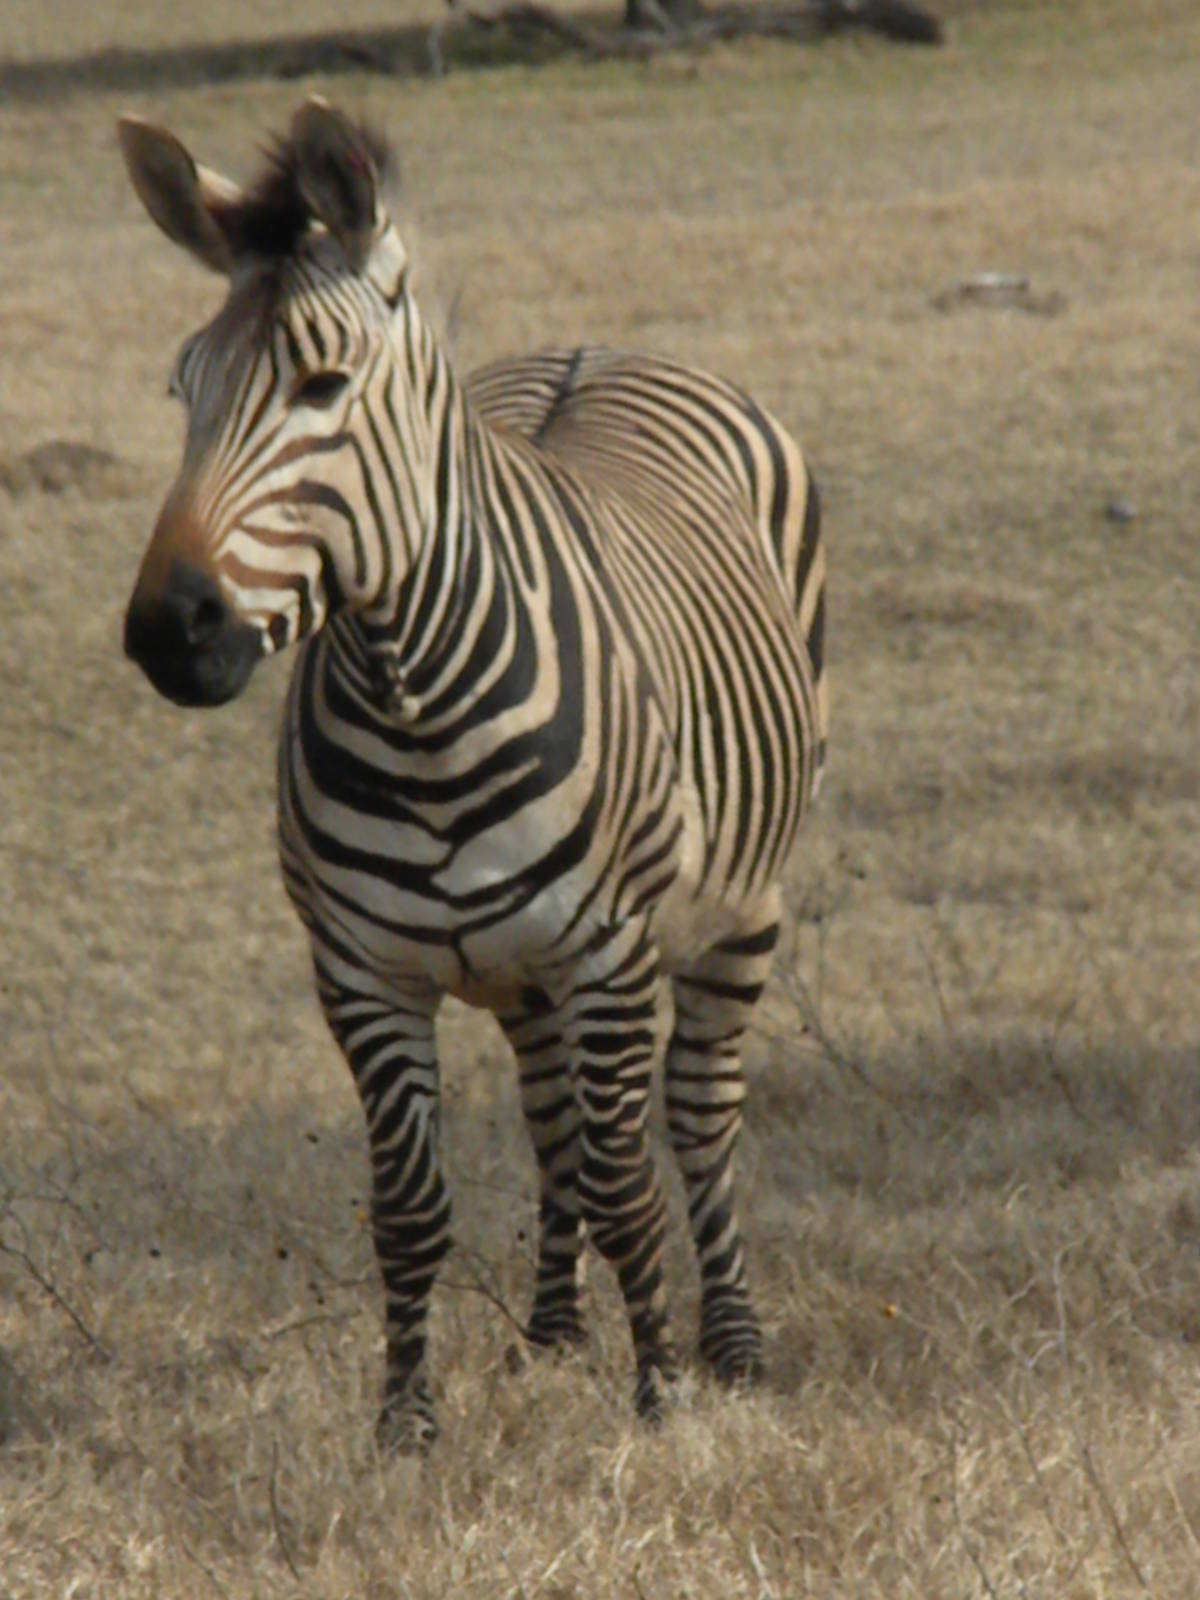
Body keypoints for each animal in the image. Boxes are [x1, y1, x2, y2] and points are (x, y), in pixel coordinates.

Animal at [118, 99, 828, 1451]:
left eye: (324, 385)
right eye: (180, 388)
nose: (169, 633)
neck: (422, 717)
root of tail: (598, 345)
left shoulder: (610, 951)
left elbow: (627, 1179)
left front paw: (661, 1402)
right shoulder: (361, 970)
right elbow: (409, 1204)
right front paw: (405, 1425)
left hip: (737, 912)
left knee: (698, 1115)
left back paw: (734, 1342)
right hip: (520, 971)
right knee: (553, 1122)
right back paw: (551, 1336)